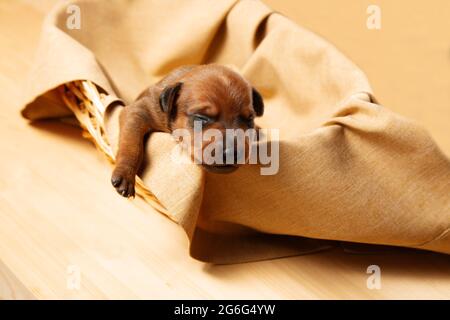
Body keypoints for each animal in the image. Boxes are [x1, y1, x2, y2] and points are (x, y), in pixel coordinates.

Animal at [110, 63, 264, 196]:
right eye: (201, 117)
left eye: (249, 120)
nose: (232, 153)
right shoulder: (138, 111)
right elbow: (132, 146)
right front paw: (126, 174)